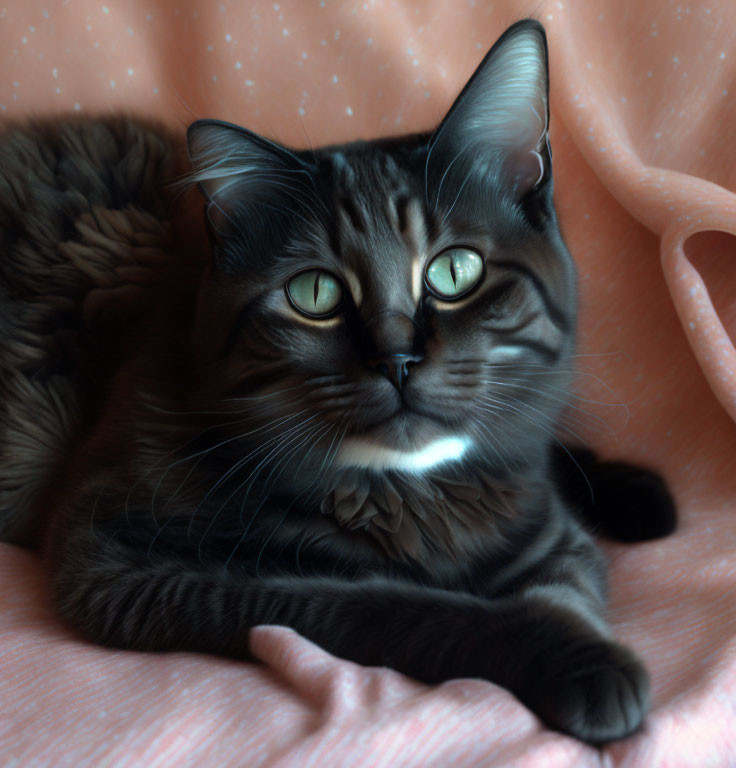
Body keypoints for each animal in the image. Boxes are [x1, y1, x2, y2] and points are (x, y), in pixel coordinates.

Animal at [0, 21, 680, 744]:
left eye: (455, 271)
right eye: (315, 293)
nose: (396, 359)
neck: (411, 490)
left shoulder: (545, 529)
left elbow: (564, 559)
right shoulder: (115, 555)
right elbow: (380, 604)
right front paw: (579, 660)